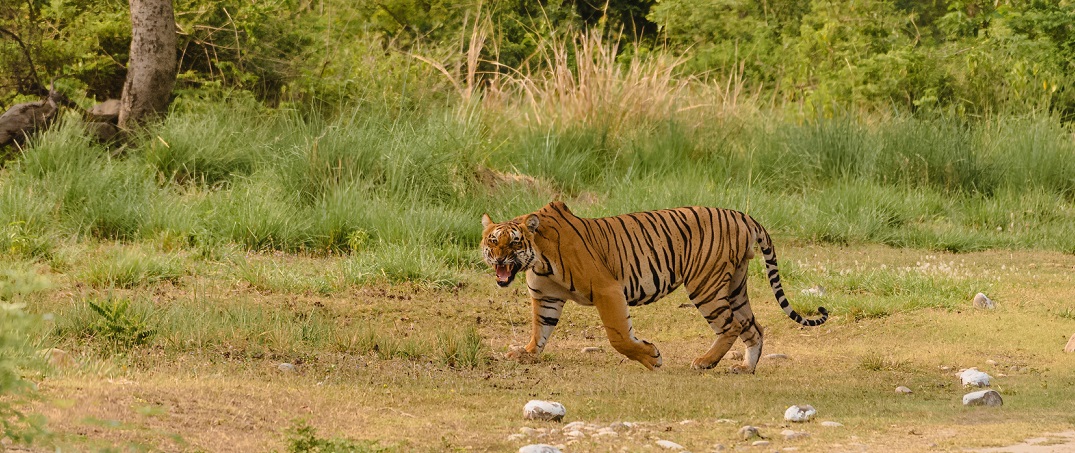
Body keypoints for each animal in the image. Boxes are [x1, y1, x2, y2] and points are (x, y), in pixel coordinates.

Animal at [483, 201, 825, 370]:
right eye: (492, 241)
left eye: (514, 242)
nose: (498, 260)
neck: (539, 259)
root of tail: (743, 216)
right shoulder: (546, 297)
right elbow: (540, 330)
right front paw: (526, 354)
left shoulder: (607, 290)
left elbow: (619, 337)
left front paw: (652, 357)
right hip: (736, 285)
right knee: (753, 327)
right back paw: (744, 368)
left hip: (705, 285)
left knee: (731, 326)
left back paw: (705, 362)